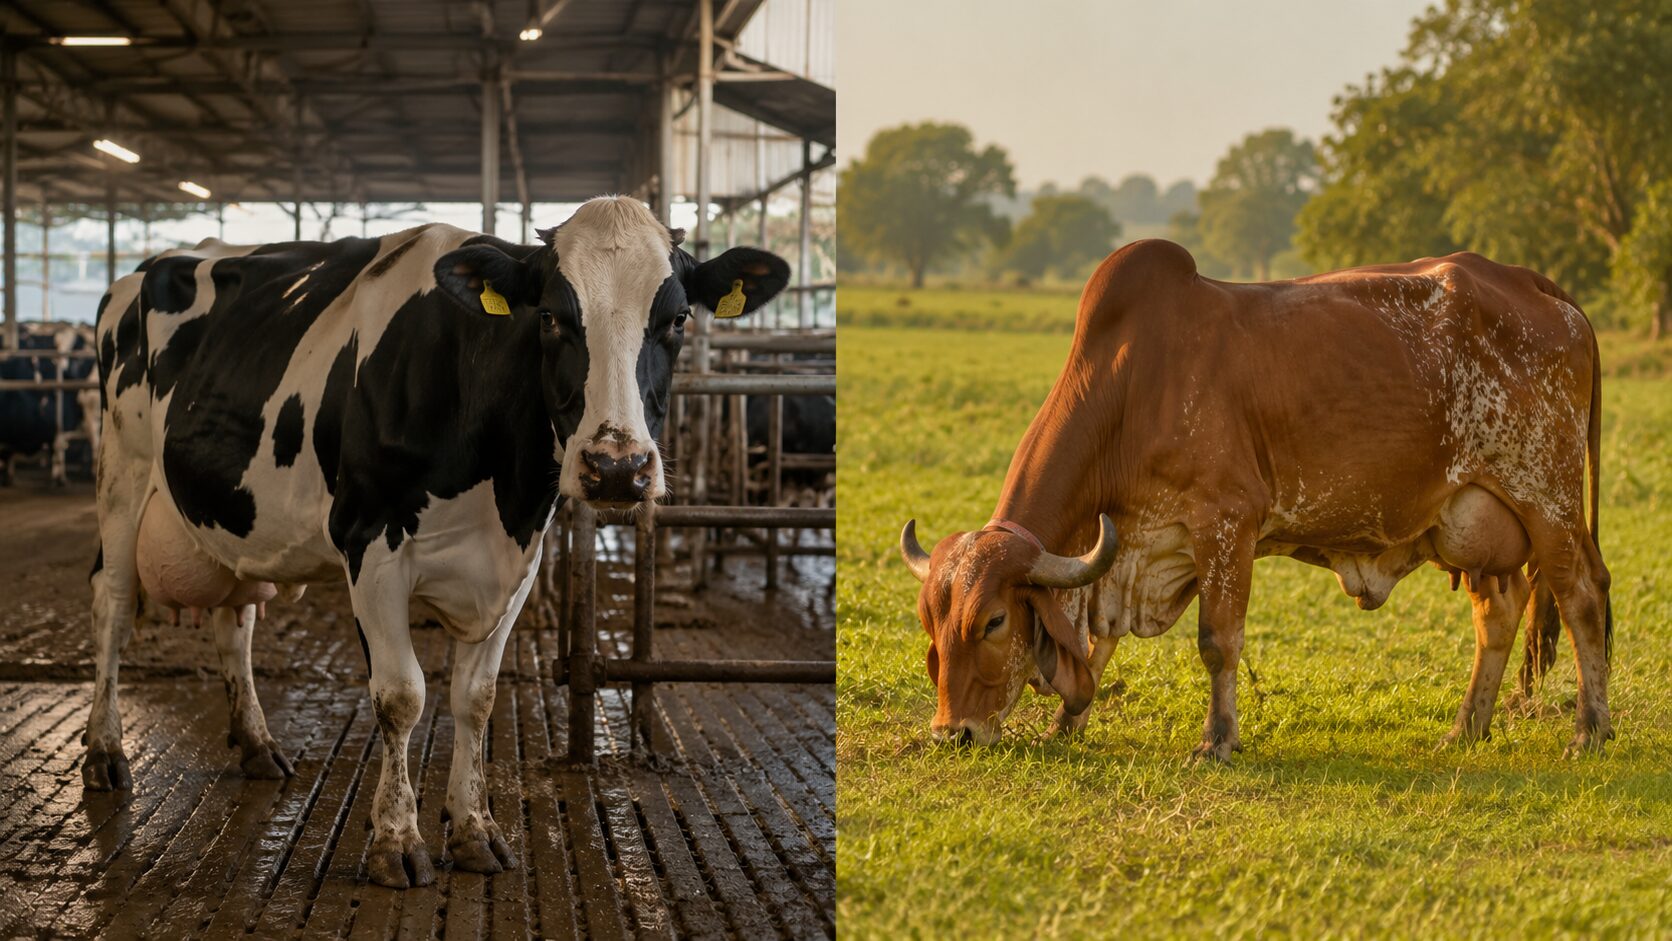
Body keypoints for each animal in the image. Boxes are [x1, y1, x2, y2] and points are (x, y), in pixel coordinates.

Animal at [88, 196, 789, 888]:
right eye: (551, 317)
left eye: (676, 320)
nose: (617, 468)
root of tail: (154, 264)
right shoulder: (369, 543)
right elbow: (402, 695)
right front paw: (395, 840)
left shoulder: (520, 561)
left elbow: (475, 699)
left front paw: (475, 829)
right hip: (120, 479)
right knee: (113, 609)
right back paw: (104, 752)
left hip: (229, 518)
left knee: (236, 620)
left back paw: (258, 745)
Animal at [898, 240, 1610, 762]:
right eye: (929, 620)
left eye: (993, 621)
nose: (953, 733)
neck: (1129, 387)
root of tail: (1531, 283)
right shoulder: (1124, 551)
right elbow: (1098, 645)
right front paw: (1063, 727)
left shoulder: (1226, 525)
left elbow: (1218, 641)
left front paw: (1217, 742)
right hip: (1471, 526)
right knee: (1500, 613)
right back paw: (1467, 729)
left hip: (1547, 501)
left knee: (1582, 598)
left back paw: (1589, 730)